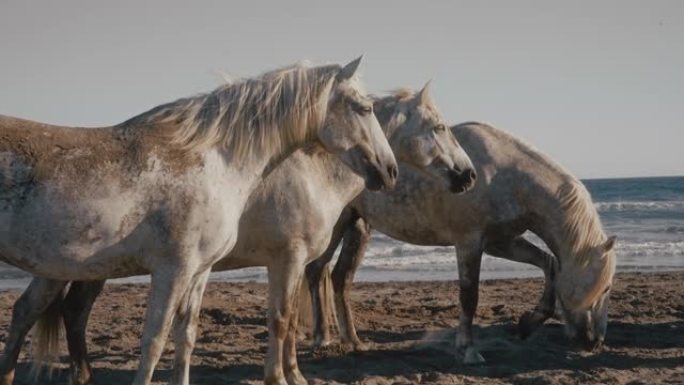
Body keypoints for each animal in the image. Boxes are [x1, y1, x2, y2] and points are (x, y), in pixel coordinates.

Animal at [304, 122, 616, 364]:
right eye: (606, 287)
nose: (595, 342)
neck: (502, 174)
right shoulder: (469, 242)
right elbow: (469, 296)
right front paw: (468, 351)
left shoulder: (500, 242)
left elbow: (549, 263)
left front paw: (528, 324)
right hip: (336, 226)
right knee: (316, 270)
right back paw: (322, 339)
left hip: (358, 226)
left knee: (340, 278)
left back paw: (353, 341)